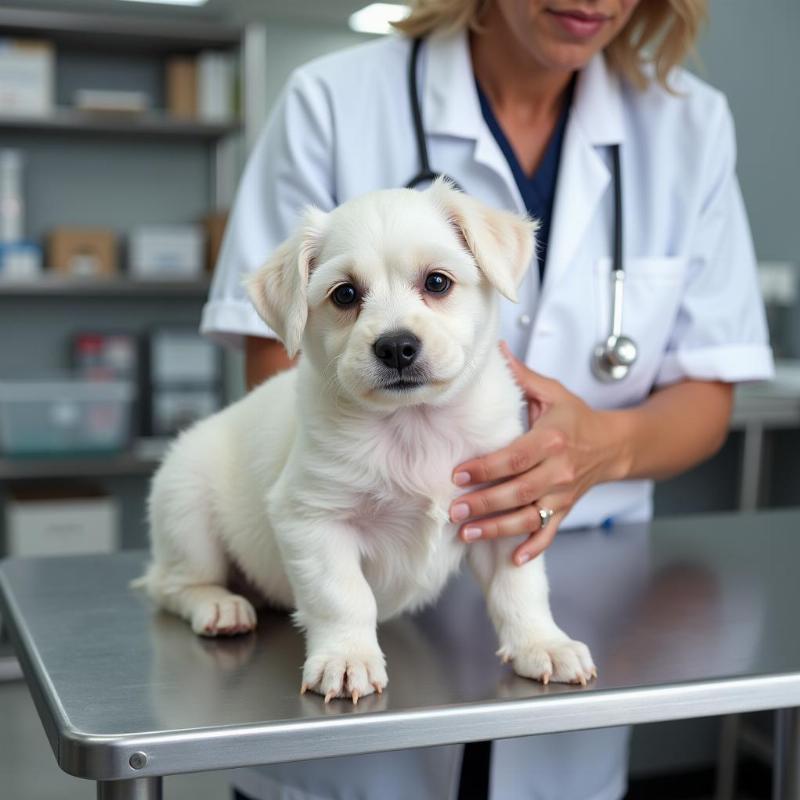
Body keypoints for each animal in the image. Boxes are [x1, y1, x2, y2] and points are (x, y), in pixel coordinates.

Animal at [139, 180, 592, 700]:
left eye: (437, 282)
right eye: (345, 294)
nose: (396, 347)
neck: (415, 425)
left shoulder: (504, 514)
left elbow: (519, 588)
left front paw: (543, 644)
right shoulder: (312, 518)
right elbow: (342, 596)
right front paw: (346, 658)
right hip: (185, 510)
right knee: (172, 584)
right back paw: (219, 605)